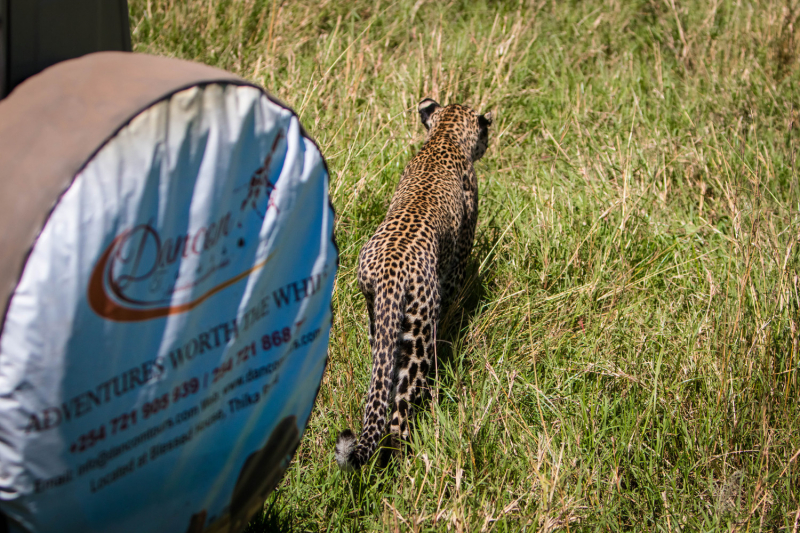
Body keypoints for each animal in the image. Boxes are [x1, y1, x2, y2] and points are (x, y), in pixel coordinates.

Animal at [334, 96, 490, 470]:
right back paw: (404, 459)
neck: (444, 137)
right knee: (399, 412)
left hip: (378, 320)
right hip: (418, 334)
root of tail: (390, 272)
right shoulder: (460, 254)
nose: (488, 142)